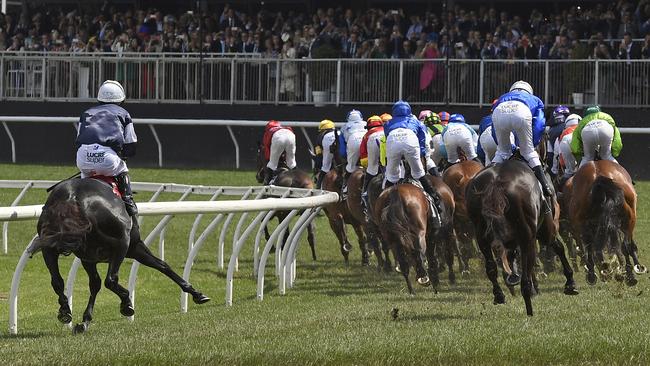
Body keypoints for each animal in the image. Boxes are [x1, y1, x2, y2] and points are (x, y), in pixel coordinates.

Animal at [31, 179, 209, 334]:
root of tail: (73, 197)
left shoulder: (88, 257)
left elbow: (94, 284)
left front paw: (84, 321)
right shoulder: (134, 247)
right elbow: (161, 265)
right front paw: (197, 293)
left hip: (48, 246)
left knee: (57, 281)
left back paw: (65, 311)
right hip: (121, 244)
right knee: (111, 279)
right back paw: (126, 304)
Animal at [466, 160, 576, 318]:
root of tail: (496, 183)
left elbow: (511, 256)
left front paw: (512, 276)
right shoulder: (543, 231)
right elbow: (558, 248)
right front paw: (570, 282)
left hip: (481, 235)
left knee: (491, 267)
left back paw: (500, 295)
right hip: (529, 236)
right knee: (526, 277)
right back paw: (529, 308)